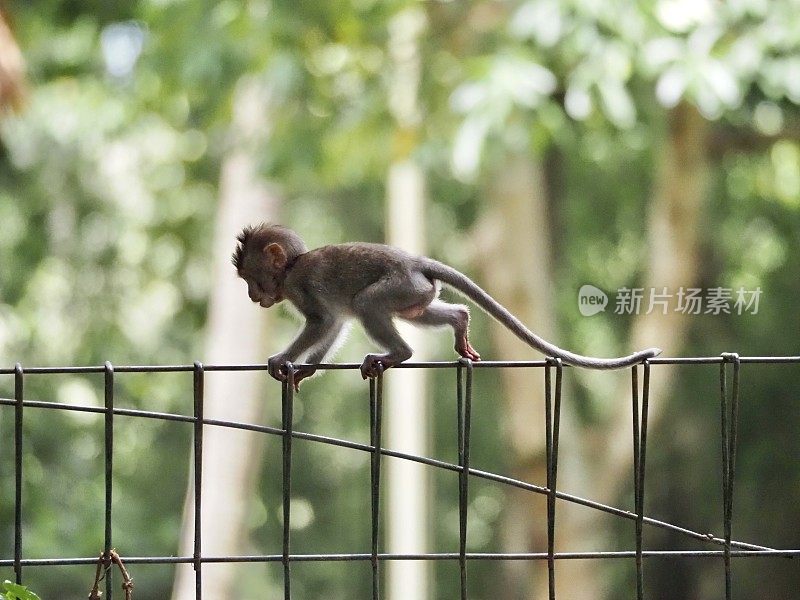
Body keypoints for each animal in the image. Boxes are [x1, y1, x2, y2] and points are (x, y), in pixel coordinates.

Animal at [233, 224, 664, 390]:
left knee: (369, 303)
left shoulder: (301, 286)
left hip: (399, 284)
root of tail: (415, 261)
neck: (291, 267)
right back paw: (460, 322)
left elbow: (323, 321)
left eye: (252, 279)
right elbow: (335, 324)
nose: (253, 296)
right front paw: (307, 368)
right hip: (416, 291)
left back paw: (399, 353)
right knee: (419, 312)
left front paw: (283, 359)